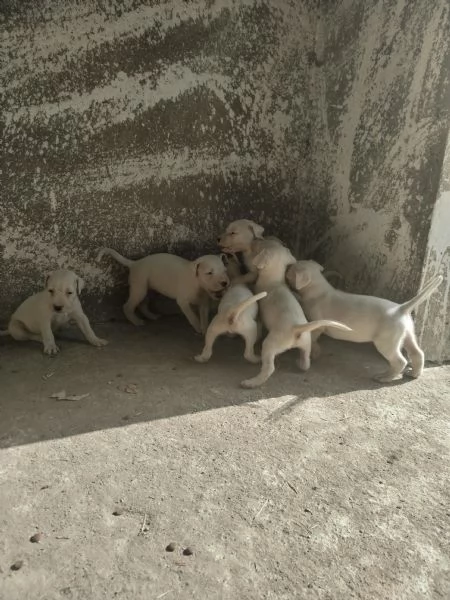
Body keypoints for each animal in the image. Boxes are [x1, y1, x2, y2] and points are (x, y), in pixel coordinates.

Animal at [97, 247, 230, 336]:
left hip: (148, 290)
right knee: (128, 306)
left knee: (143, 304)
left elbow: (204, 317)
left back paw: (152, 316)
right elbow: (192, 316)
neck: (197, 283)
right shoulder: (183, 302)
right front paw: (198, 327)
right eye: (209, 273)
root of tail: (134, 263)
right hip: (139, 288)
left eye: (224, 270)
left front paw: (205, 330)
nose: (225, 283)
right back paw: (136, 321)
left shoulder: (203, 304)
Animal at [241, 240, 350, 390]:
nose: (255, 241)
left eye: (262, 245)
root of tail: (296, 328)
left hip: (270, 345)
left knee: (269, 368)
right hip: (306, 344)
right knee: (306, 363)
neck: (274, 280)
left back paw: (251, 382)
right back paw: (300, 363)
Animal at [284, 260, 442, 382]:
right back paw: (414, 374)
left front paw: (314, 352)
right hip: (408, 334)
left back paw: (384, 377)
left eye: (291, 270)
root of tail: (400, 309)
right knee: (417, 353)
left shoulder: (318, 324)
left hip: (386, 342)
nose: (286, 267)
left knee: (400, 361)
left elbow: (313, 338)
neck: (319, 290)